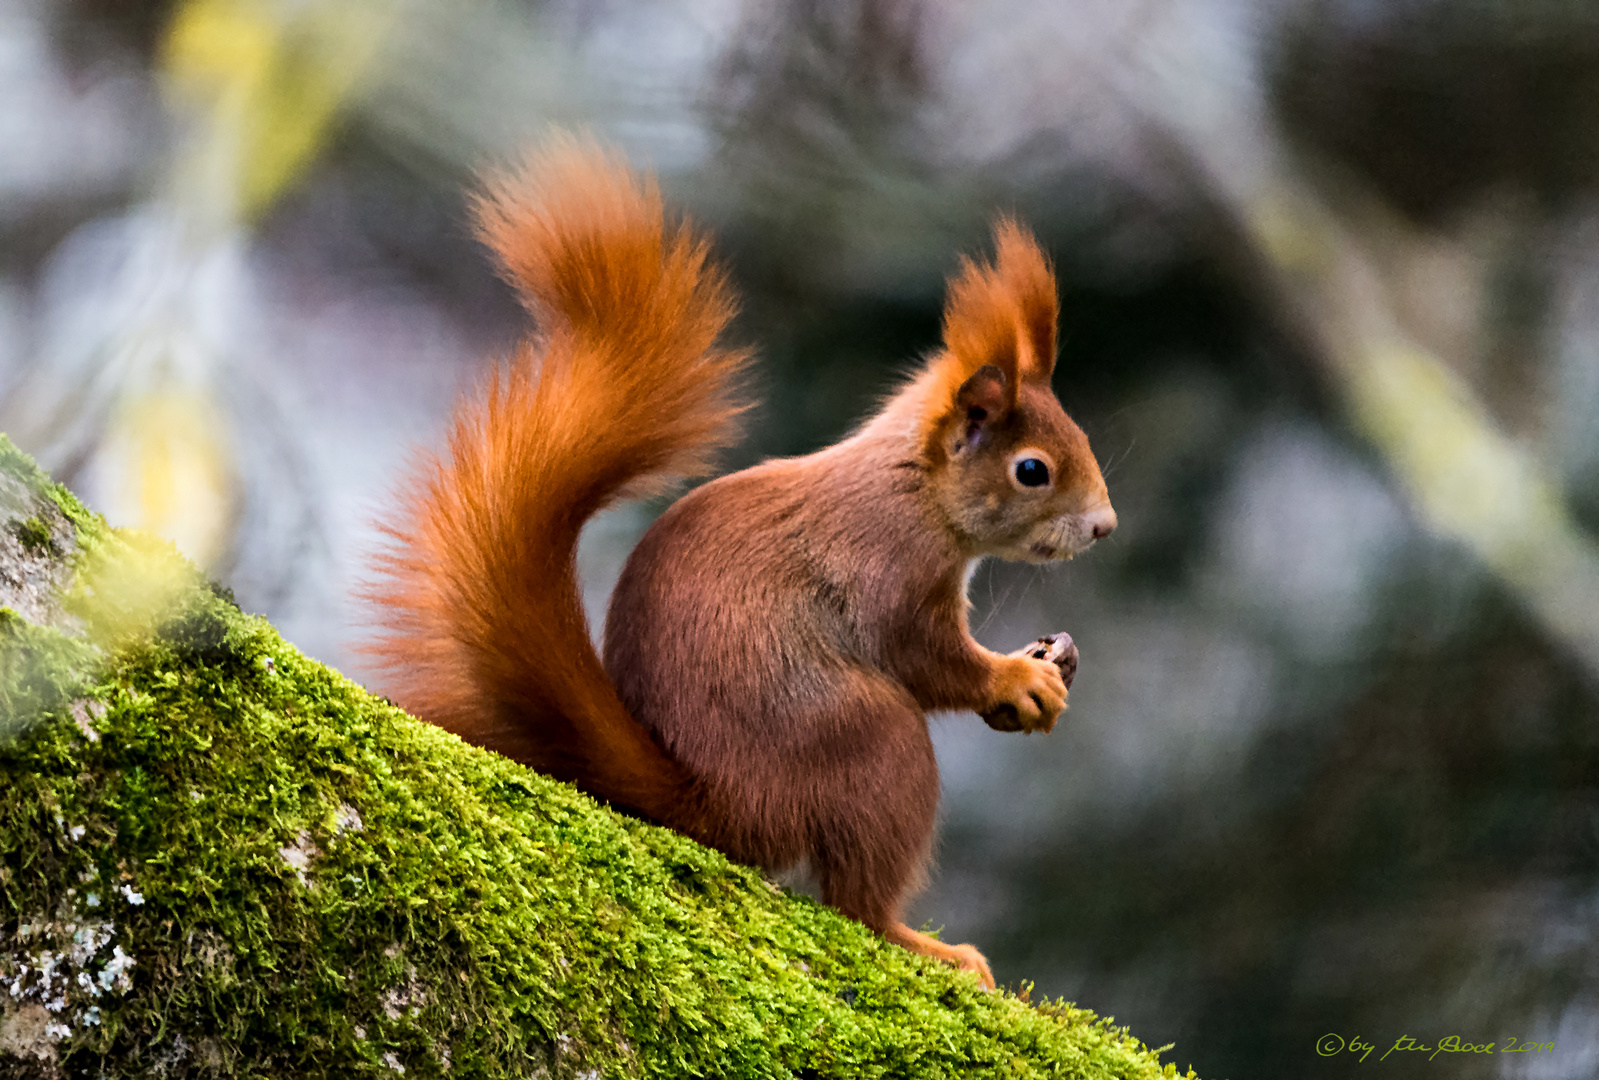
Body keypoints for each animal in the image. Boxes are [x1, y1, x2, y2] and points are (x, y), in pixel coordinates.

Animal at [364, 136, 1116, 989]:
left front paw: (1047, 663)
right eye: (1032, 470)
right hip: (868, 740)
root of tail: (715, 802)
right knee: (856, 901)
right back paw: (929, 947)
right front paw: (1016, 678)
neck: (913, 489)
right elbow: (924, 659)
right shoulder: (887, 572)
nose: (1105, 526)